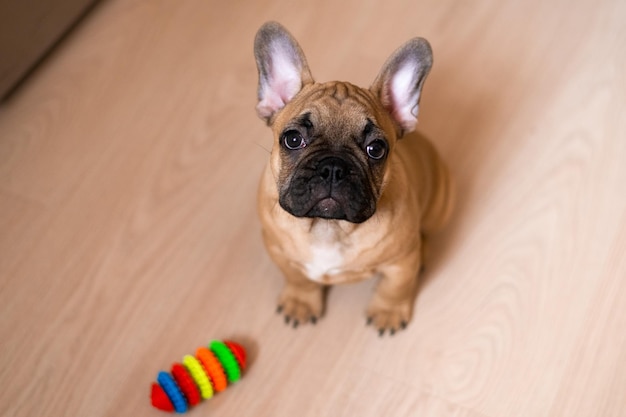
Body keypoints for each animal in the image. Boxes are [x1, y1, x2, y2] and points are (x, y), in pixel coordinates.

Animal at [251, 22, 450, 334]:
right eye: (293, 139)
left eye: (376, 149)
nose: (333, 167)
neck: (328, 227)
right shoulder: (277, 250)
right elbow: (297, 278)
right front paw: (301, 302)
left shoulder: (400, 263)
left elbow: (395, 288)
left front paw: (387, 312)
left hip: (440, 206)